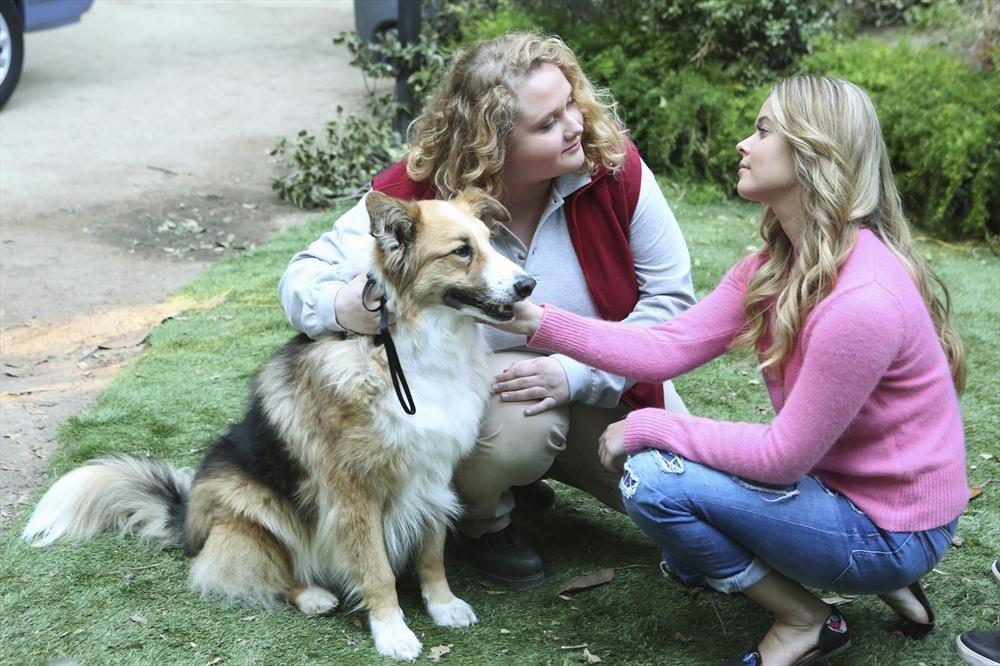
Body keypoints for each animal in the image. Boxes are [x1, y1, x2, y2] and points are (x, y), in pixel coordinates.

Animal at [19, 187, 536, 660]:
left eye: (491, 241)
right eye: (462, 251)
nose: (528, 285)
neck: (407, 347)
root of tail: (186, 519)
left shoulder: (432, 474)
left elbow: (431, 551)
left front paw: (442, 605)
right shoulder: (353, 494)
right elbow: (376, 570)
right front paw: (392, 632)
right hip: (255, 508)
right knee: (244, 573)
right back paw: (311, 595)